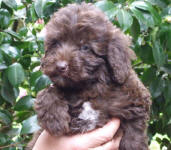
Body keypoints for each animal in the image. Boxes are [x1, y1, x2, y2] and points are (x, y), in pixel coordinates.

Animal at [28, 2, 152, 150]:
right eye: (56, 43)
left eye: (85, 47)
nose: (60, 66)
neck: (88, 88)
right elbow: (48, 91)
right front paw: (54, 119)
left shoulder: (136, 97)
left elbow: (134, 131)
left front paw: (132, 142)